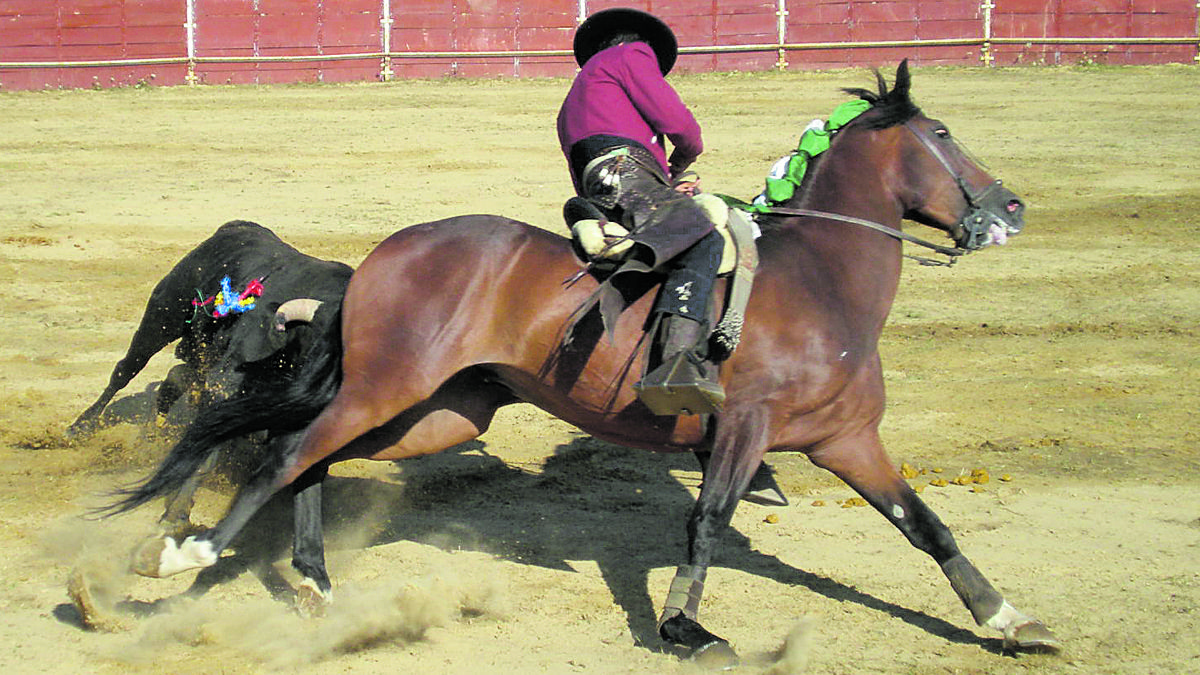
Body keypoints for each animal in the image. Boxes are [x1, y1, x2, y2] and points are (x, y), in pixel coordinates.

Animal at [108, 63, 1056, 662]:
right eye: (942, 132)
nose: (1010, 206)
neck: (822, 279)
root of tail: (379, 257)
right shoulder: (742, 429)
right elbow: (706, 523)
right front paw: (684, 630)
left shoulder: (847, 441)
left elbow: (927, 526)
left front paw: (1008, 617)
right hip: (389, 387)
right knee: (285, 454)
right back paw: (186, 556)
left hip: (436, 411)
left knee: (307, 455)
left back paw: (312, 580)